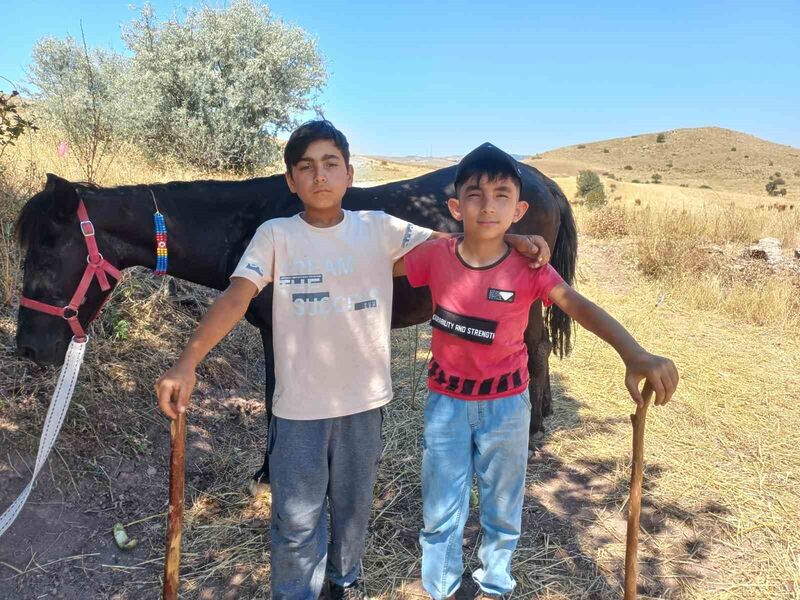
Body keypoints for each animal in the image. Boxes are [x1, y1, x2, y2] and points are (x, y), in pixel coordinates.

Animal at [12, 165, 576, 488]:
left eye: (46, 249)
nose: (28, 349)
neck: (250, 225)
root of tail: (543, 182)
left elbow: (274, 399)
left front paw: (268, 473)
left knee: (536, 352)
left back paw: (531, 433)